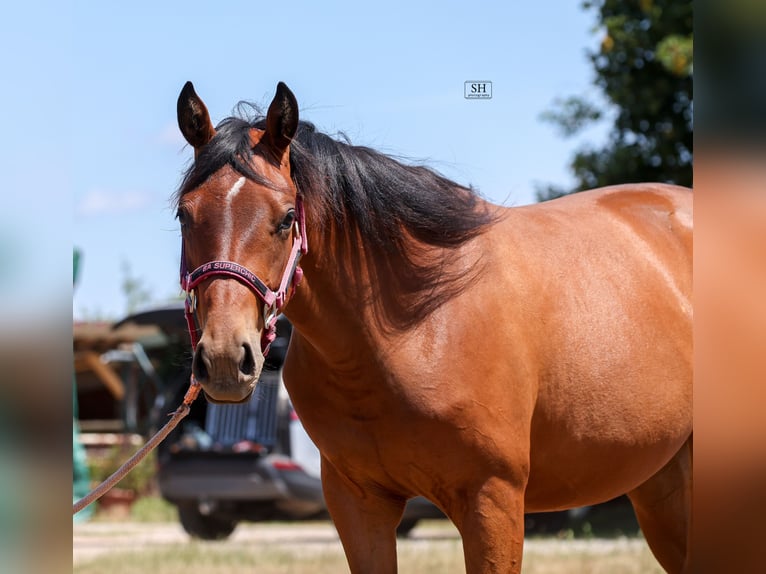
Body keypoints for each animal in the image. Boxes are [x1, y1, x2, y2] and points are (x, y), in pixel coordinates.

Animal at [173, 81, 692, 573]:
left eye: (285, 219)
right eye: (184, 213)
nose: (225, 358)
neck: (413, 328)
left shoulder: (493, 502)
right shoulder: (358, 504)